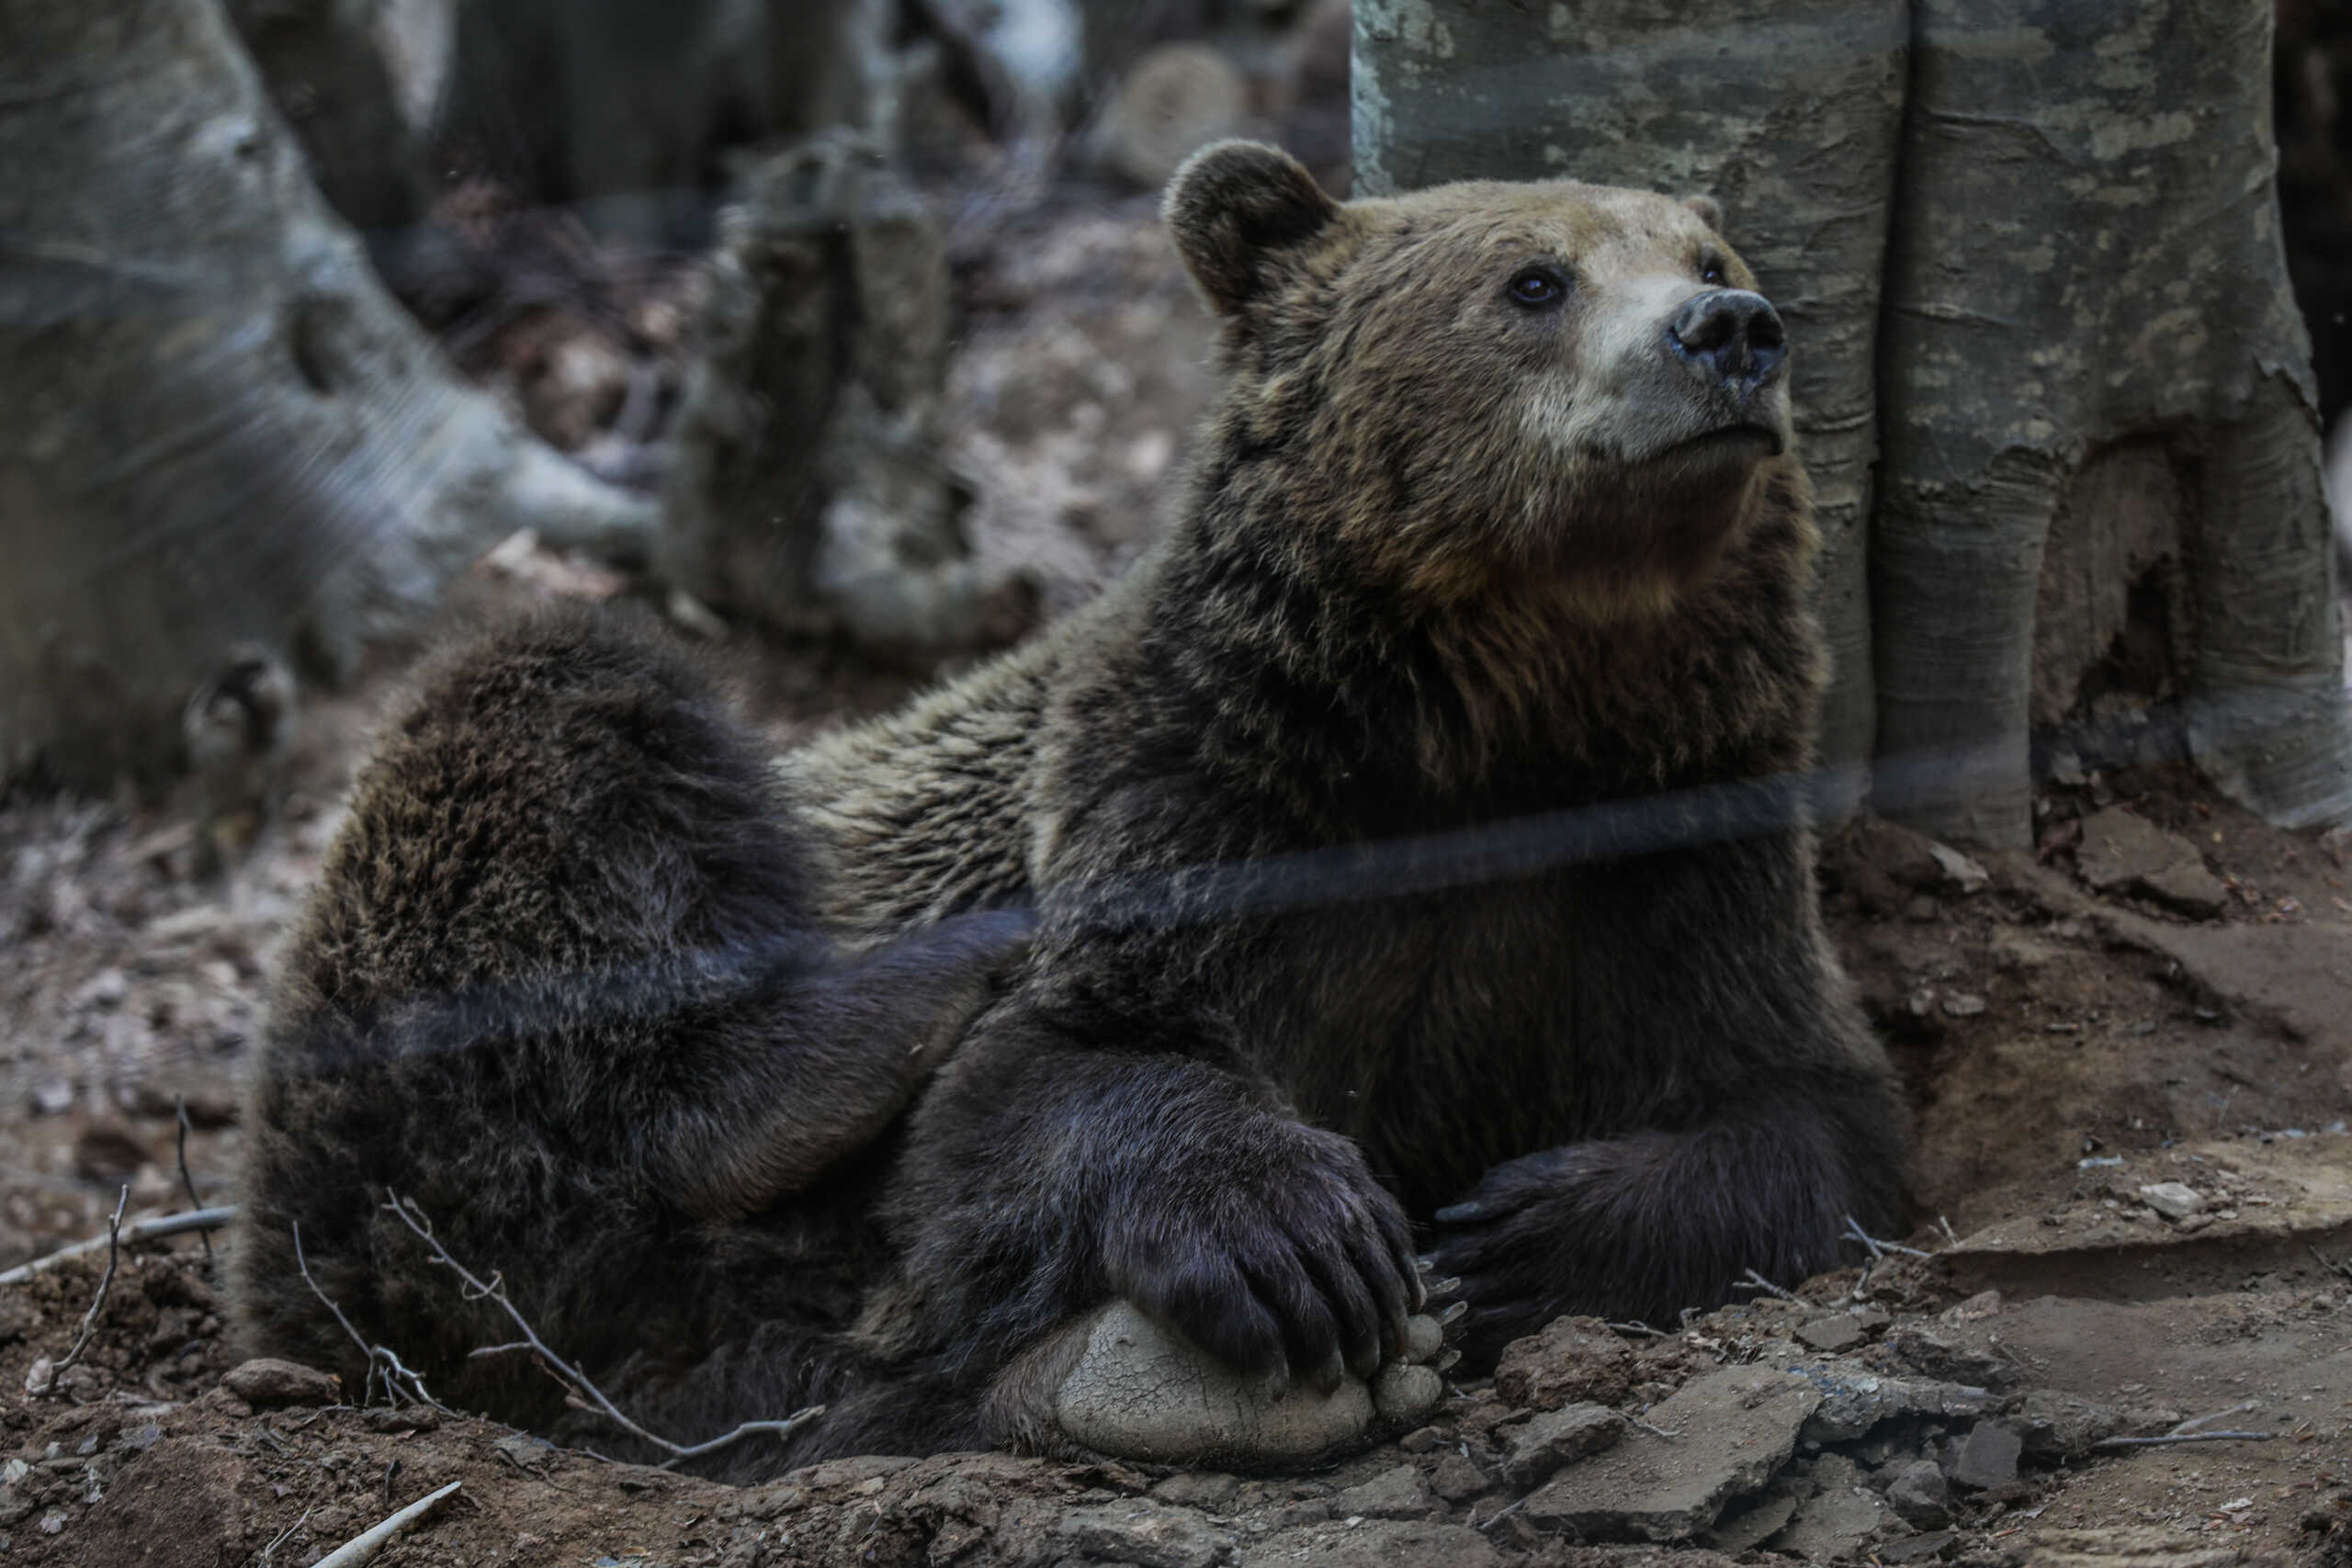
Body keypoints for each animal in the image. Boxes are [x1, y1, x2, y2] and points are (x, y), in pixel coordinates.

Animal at [229, 141, 1900, 1476]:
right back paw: (879, 1020)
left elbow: (1806, 1107)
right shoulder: (1200, 790)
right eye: (1533, 279)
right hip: (423, 1034)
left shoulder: (1676, 844)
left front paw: (1517, 1233)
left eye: (1708, 257)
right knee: (561, 719)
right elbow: (1057, 1067)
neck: (1498, 724)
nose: (1730, 332)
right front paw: (1307, 1238)